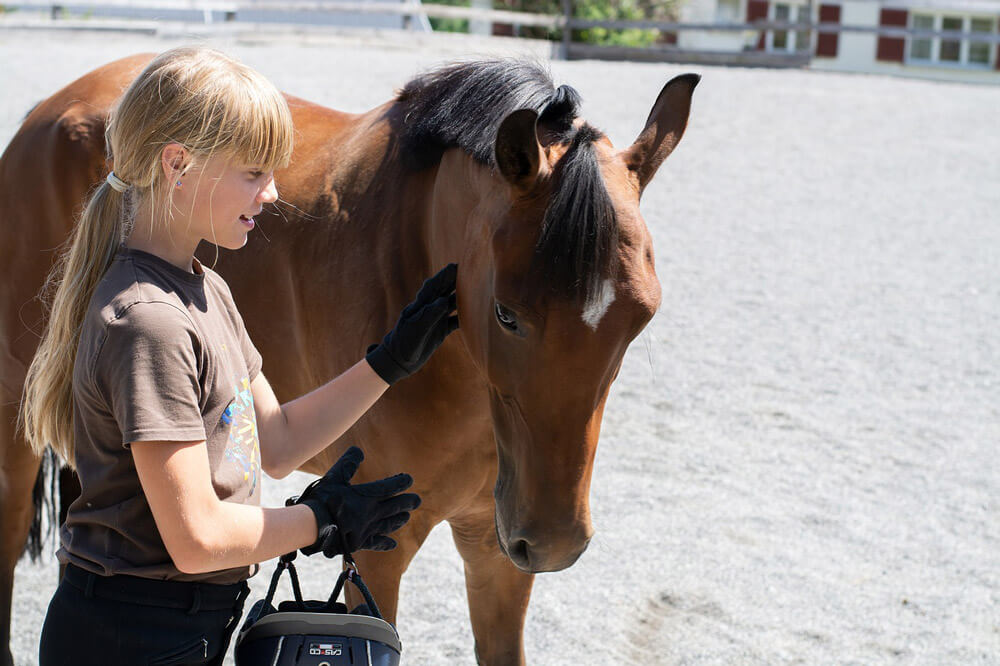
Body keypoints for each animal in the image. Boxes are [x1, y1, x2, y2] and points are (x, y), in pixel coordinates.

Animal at [0, 54, 696, 660]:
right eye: (505, 314)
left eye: (642, 317)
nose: (554, 541)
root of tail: (54, 110)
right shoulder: (383, 551)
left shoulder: (495, 550)